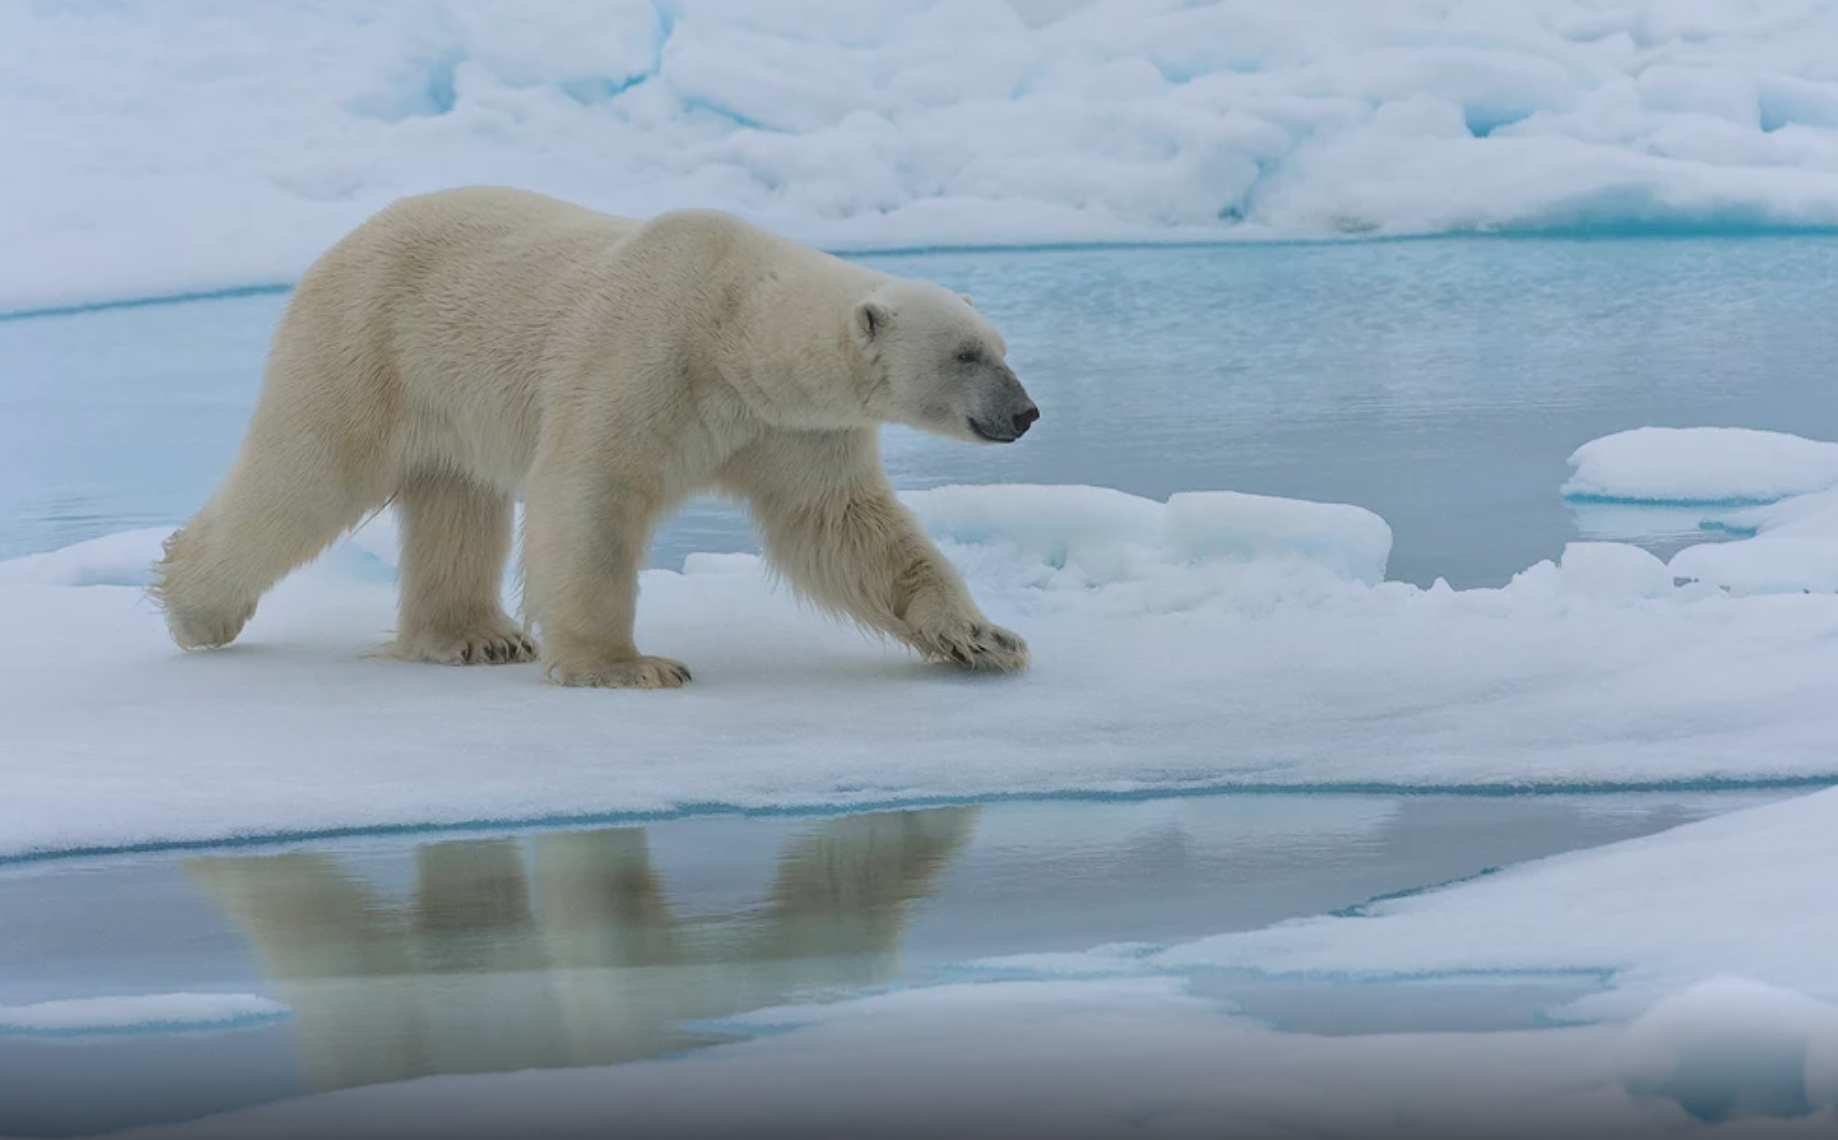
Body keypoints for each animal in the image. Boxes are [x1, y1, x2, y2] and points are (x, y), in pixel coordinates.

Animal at [147, 186, 1036, 684]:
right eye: (965, 355)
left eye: (1002, 346)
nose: (1026, 413)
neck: (735, 328)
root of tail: (340, 244)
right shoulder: (646, 357)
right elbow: (592, 495)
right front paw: (629, 666)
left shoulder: (794, 429)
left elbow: (845, 526)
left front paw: (984, 637)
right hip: (370, 342)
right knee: (307, 474)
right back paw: (196, 611)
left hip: (445, 388)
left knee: (456, 502)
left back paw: (474, 638)